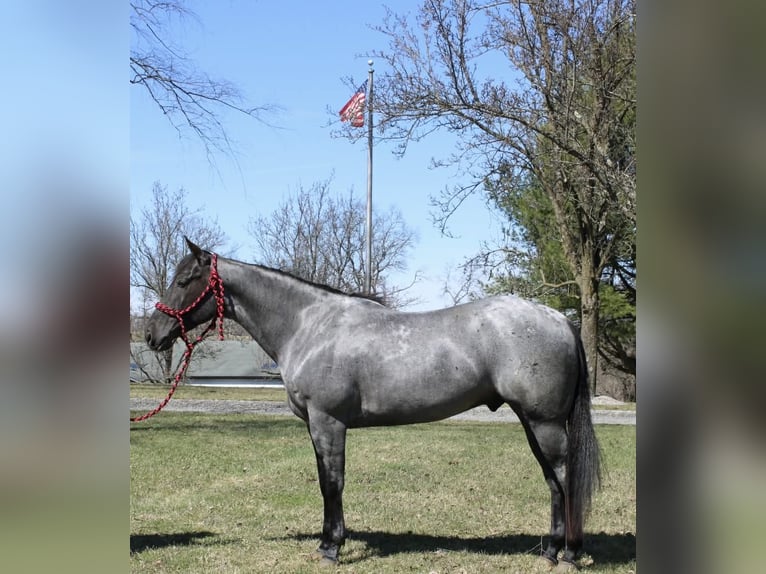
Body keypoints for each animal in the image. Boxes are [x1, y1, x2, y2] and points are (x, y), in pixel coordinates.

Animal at [144, 238, 601, 570]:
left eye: (184, 281)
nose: (152, 334)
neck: (308, 325)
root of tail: (561, 320)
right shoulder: (317, 425)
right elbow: (325, 481)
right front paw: (327, 543)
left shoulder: (327, 422)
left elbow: (332, 483)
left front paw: (331, 548)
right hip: (532, 422)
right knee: (553, 482)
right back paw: (550, 552)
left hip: (544, 422)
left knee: (564, 478)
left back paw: (569, 555)